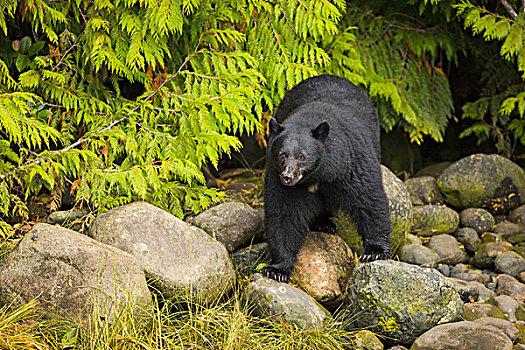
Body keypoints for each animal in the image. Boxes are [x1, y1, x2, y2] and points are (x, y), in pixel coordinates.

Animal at [260, 74, 388, 282]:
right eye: (282, 155)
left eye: (302, 156)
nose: (287, 177)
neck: (318, 174)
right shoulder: (275, 175)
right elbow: (283, 214)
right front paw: (278, 269)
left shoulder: (350, 163)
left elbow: (369, 198)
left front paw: (374, 251)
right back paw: (323, 224)